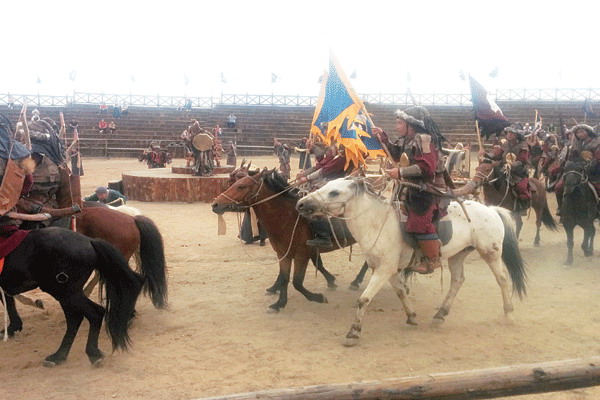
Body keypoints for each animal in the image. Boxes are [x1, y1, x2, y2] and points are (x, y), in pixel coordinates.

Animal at [0, 228, 144, 366]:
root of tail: (89, 241)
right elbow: (8, 300)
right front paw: (13, 327)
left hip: (65, 292)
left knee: (92, 313)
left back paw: (84, 353)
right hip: (67, 293)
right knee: (75, 318)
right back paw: (61, 356)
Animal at [213, 169, 368, 312]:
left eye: (241, 186)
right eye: (233, 183)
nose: (215, 204)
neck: (287, 218)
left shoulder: (301, 256)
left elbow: (297, 283)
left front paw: (318, 297)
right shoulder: (283, 254)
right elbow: (284, 278)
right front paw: (279, 303)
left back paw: (356, 282)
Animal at [296, 178, 524, 346]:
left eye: (334, 192)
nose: (301, 203)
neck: (377, 222)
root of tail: (491, 210)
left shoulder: (383, 270)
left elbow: (364, 299)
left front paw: (353, 333)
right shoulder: (390, 270)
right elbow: (401, 292)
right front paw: (412, 317)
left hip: (490, 253)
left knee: (502, 280)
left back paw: (509, 314)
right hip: (458, 255)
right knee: (457, 281)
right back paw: (440, 315)